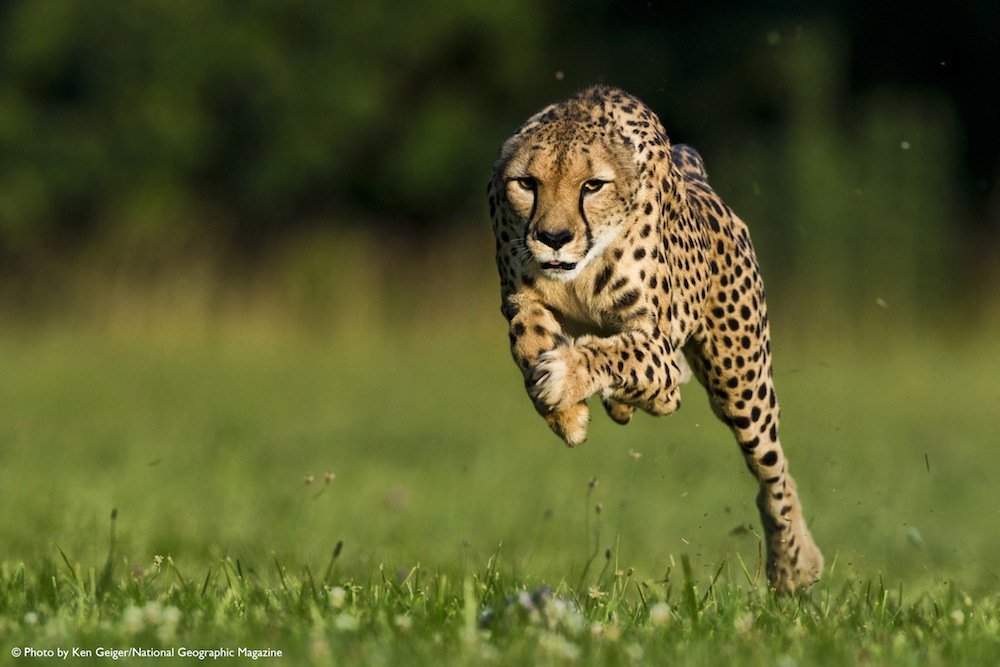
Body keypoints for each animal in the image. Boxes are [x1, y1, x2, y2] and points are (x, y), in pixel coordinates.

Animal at [486, 85, 823, 594]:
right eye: (527, 183)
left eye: (592, 185)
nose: (553, 236)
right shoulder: (520, 297)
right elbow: (528, 338)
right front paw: (566, 415)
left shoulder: (655, 344)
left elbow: (620, 354)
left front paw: (564, 377)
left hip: (740, 383)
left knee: (773, 471)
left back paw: (794, 564)